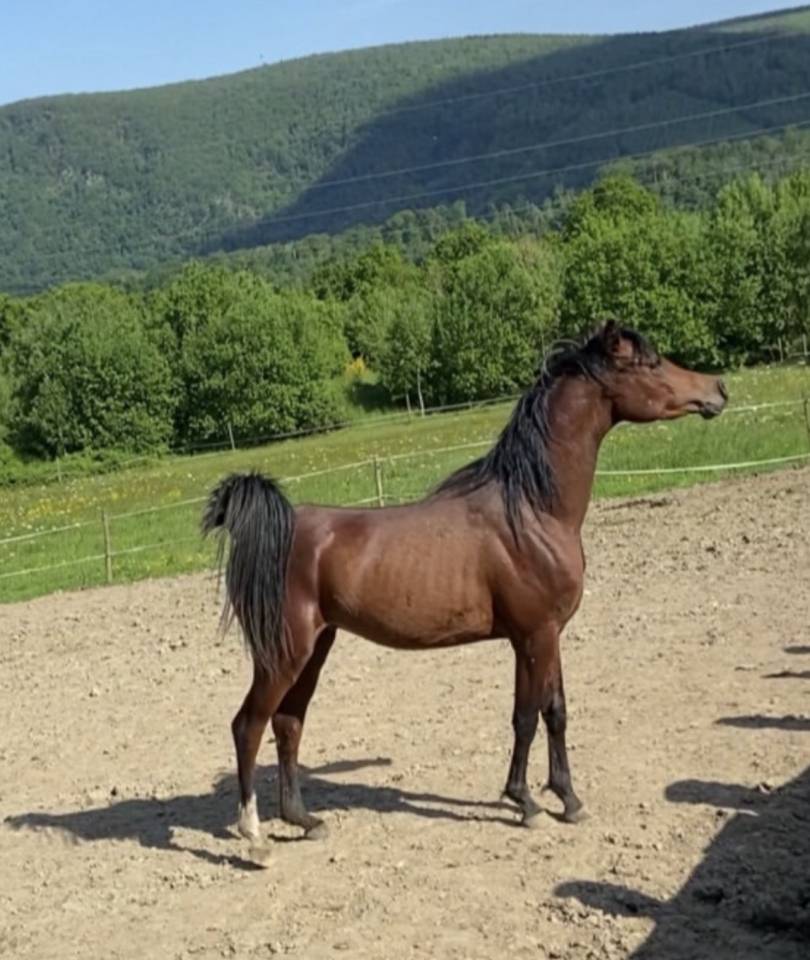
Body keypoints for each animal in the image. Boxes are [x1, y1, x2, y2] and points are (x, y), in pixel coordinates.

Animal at [202, 320, 727, 854]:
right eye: (651, 362)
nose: (718, 389)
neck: (532, 511)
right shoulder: (534, 636)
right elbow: (525, 716)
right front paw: (526, 803)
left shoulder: (547, 635)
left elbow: (555, 712)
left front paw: (569, 800)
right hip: (282, 654)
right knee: (248, 725)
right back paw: (255, 836)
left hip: (314, 648)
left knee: (288, 724)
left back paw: (304, 820)